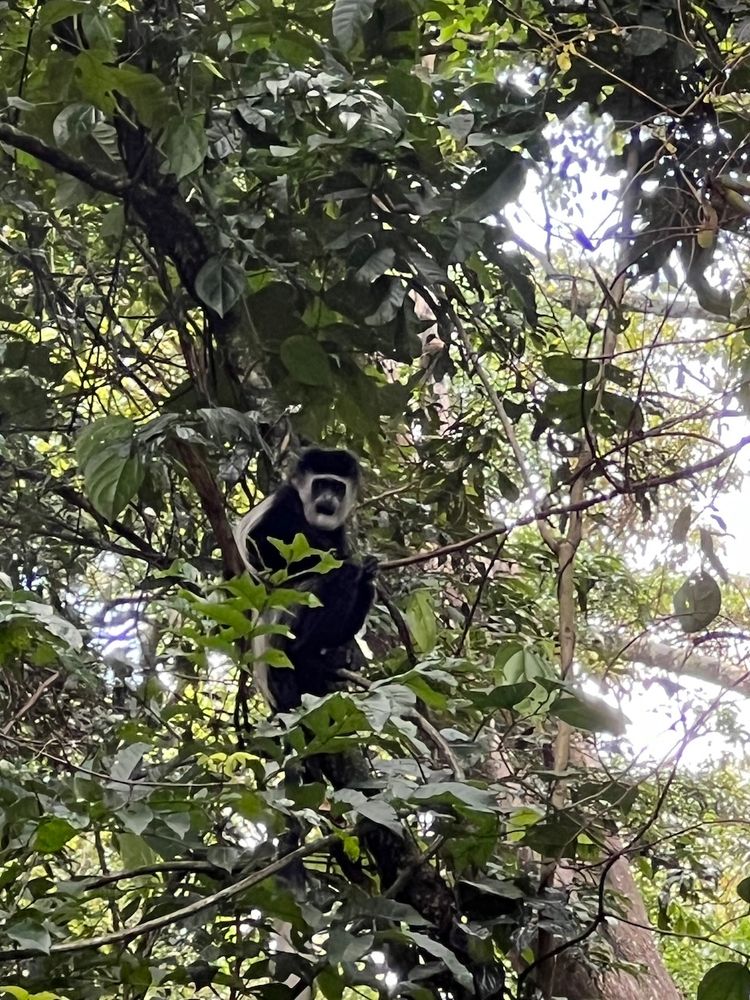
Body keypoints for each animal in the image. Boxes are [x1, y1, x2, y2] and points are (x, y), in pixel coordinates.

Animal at [234, 446, 376, 712]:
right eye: (320, 484)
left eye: (337, 487)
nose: (328, 499)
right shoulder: (284, 501)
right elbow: (261, 541)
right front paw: (337, 558)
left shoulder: (338, 530)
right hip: (285, 627)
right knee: (341, 577)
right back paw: (305, 651)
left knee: (364, 587)